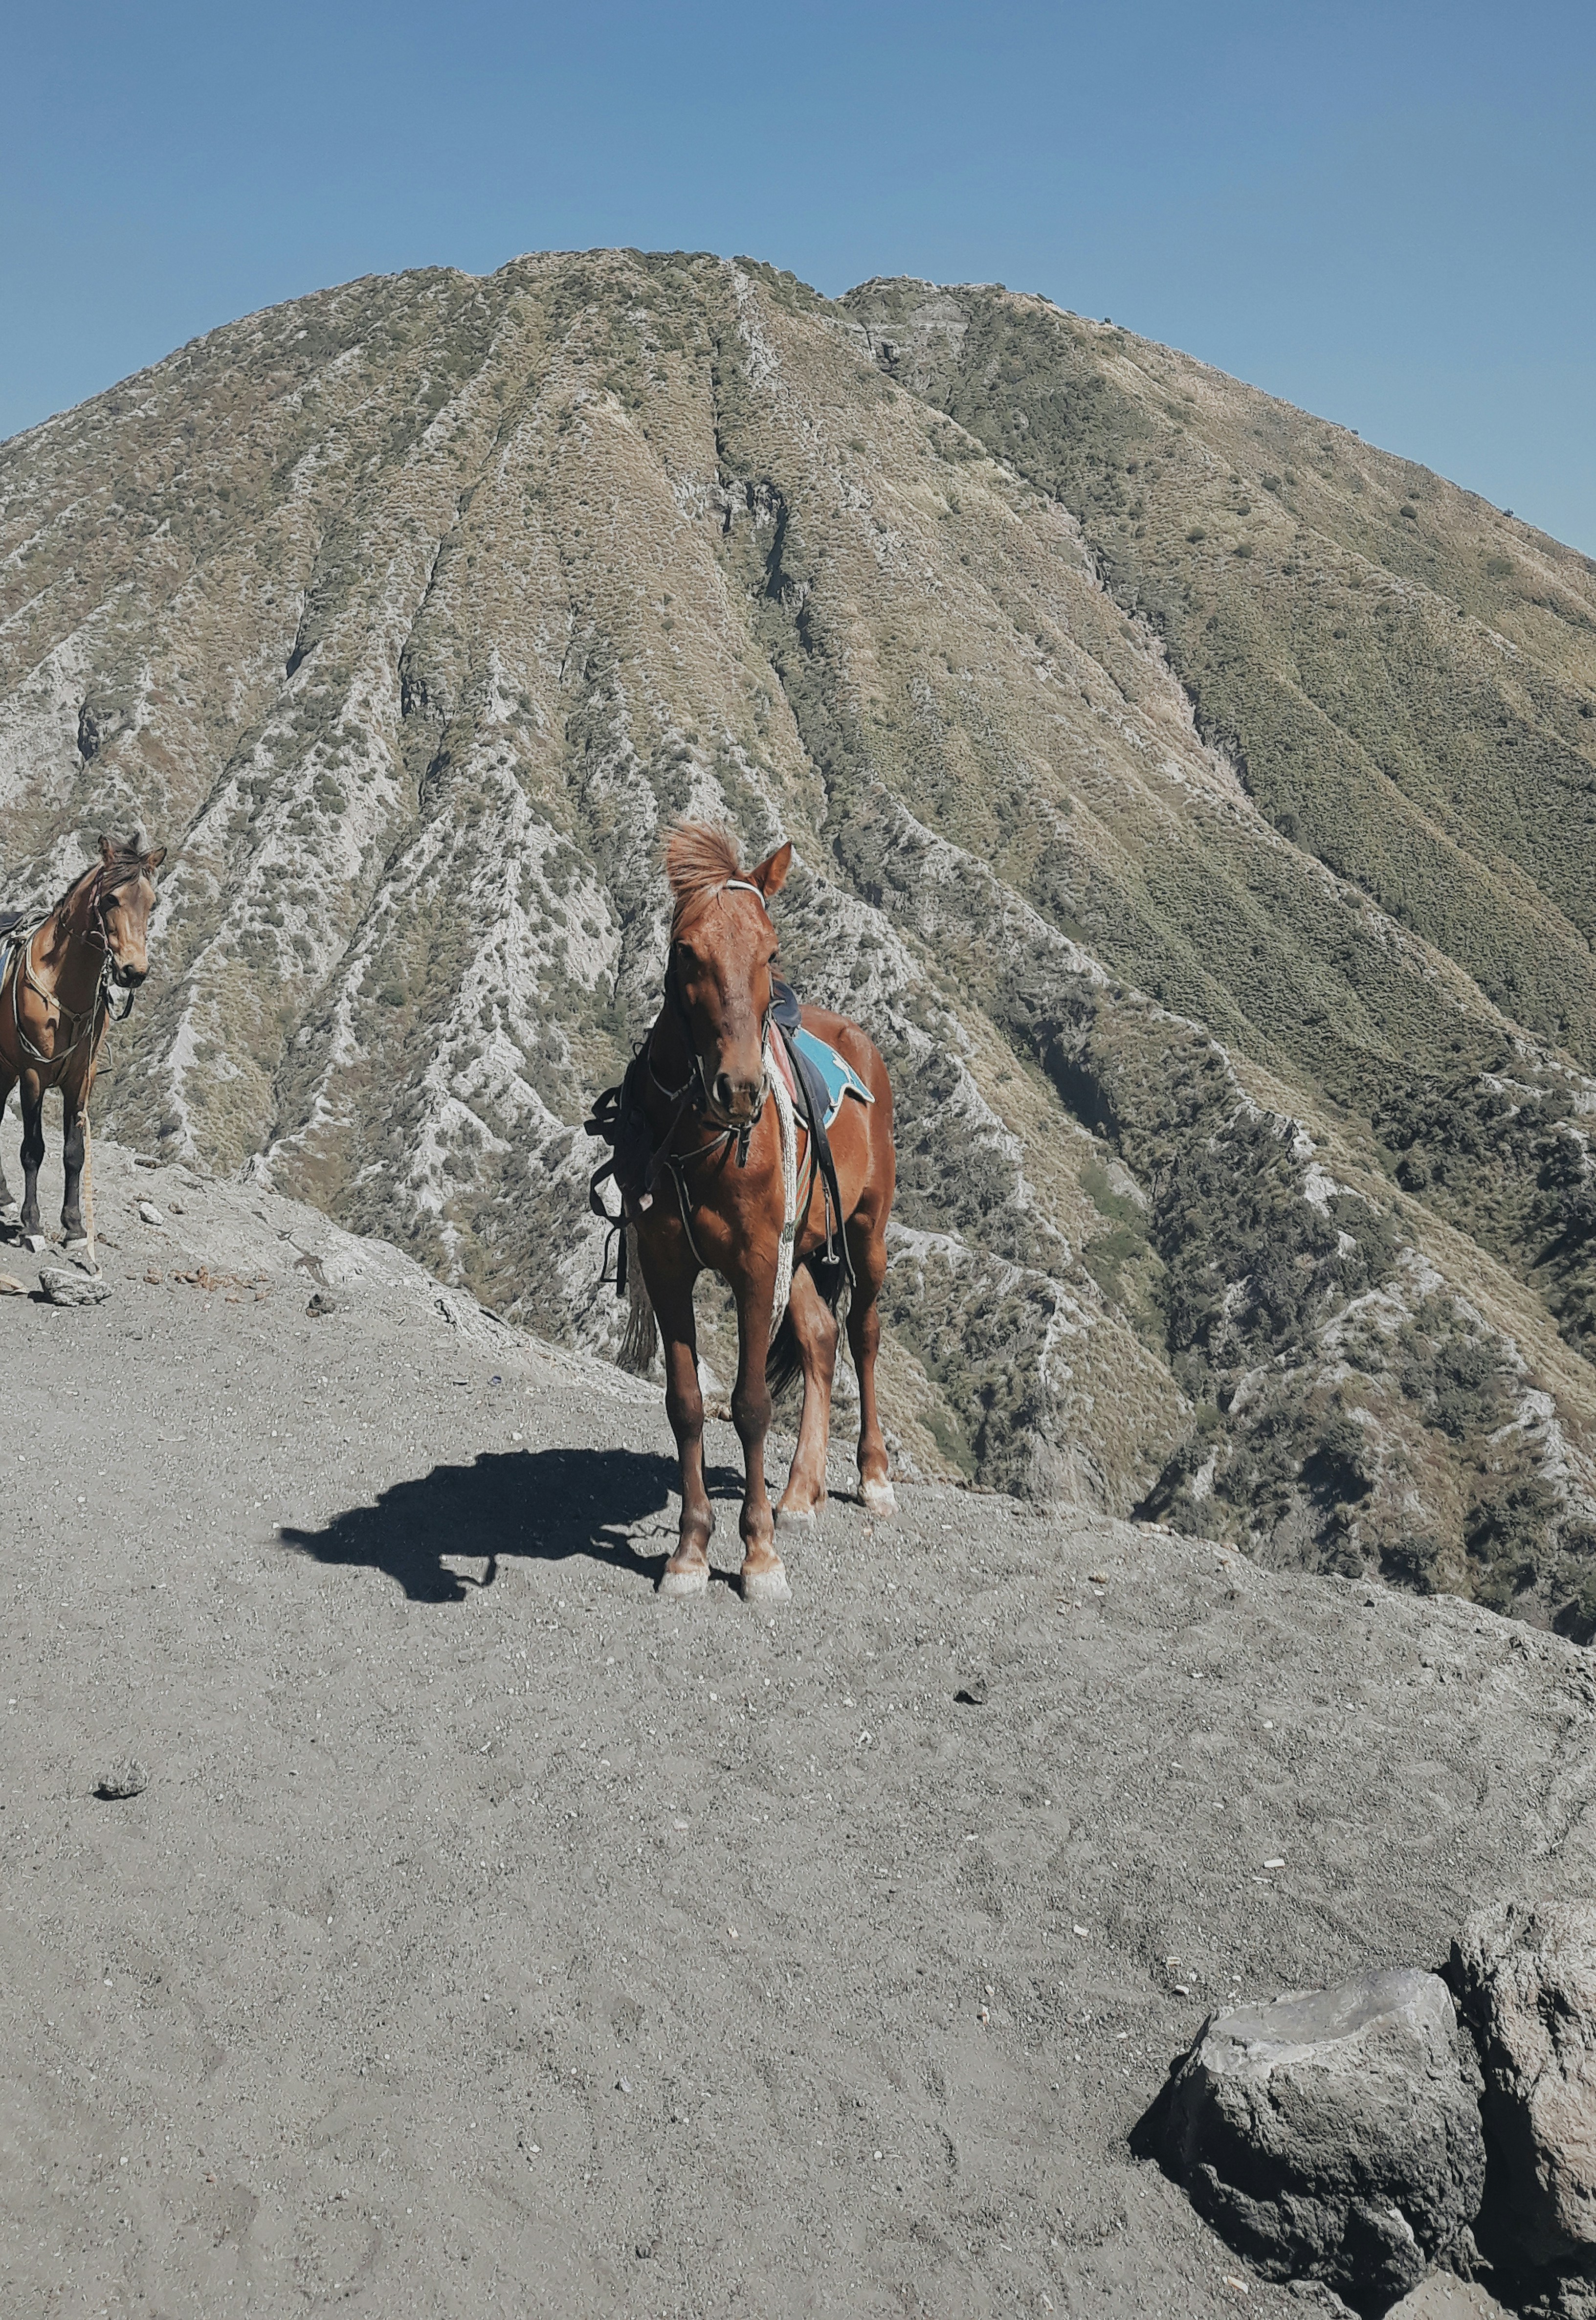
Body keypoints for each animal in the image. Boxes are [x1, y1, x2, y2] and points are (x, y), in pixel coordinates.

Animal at [0, 835, 165, 1242]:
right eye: (112, 899)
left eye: (151, 901)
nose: (134, 972)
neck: (64, 988)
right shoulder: (33, 1075)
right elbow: (33, 1149)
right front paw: (32, 1223)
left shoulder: (81, 1078)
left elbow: (75, 1152)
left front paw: (74, 1224)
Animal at [601, 820, 897, 1602]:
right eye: (685, 950)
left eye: (771, 951)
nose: (738, 1089)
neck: (700, 1140)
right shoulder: (668, 1265)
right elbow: (686, 1402)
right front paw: (691, 1550)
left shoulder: (757, 1263)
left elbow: (752, 1403)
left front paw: (758, 1555)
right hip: (802, 1247)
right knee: (822, 1338)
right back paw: (800, 1492)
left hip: (867, 1233)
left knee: (863, 1334)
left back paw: (872, 1476)